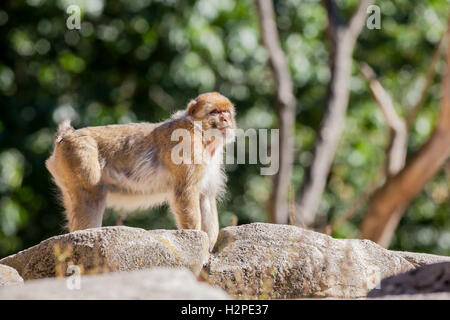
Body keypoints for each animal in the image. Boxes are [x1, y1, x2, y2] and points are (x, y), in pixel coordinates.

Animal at [45, 91, 237, 251]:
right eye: (215, 112)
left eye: (226, 112)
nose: (226, 120)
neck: (202, 134)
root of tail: (67, 135)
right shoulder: (188, 146)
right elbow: (186, 193)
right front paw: (197, 243)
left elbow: (206, 198)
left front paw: (210, 247)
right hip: (80, 156)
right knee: (91, 197)